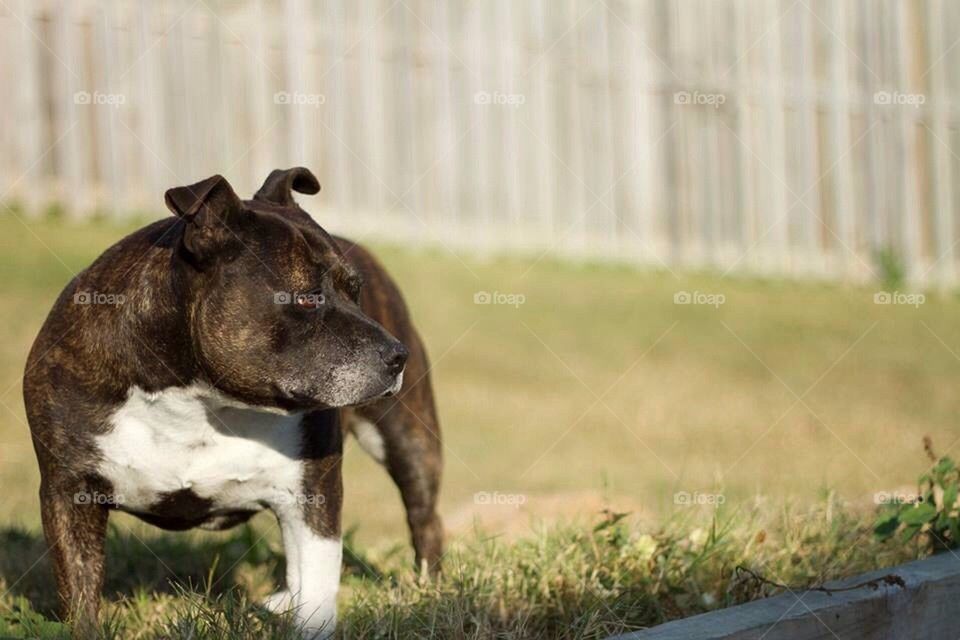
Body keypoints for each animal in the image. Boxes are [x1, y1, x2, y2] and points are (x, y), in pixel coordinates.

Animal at [19, 168, 446, 636]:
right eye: (308, 298)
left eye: (356, 292)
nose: (397, 354)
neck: (199, 399)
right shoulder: (69, 491)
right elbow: (80, 593)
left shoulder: (312, 495)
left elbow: (317, 588)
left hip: (407, 438)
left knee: (423, 516)